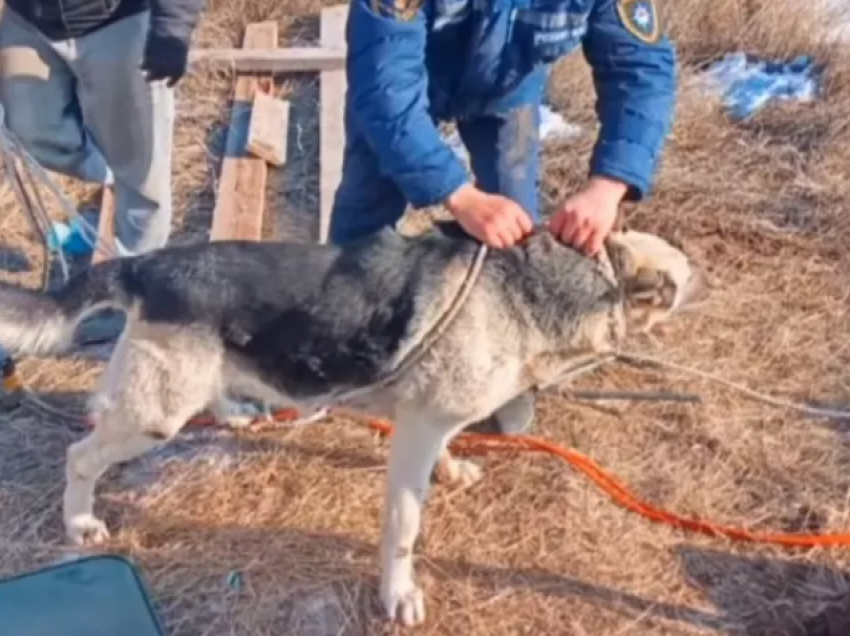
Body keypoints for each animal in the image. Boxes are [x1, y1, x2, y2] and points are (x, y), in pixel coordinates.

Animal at [0, 222, 704, 628]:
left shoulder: (430, 424)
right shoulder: (415, 435)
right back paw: (79, 522)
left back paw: (235, 412)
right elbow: (404, 528)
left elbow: (443, 455)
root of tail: (145, 264)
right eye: (683, 281)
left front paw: (453, 469)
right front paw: (398, 595)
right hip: (154, 414)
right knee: (80, 457)